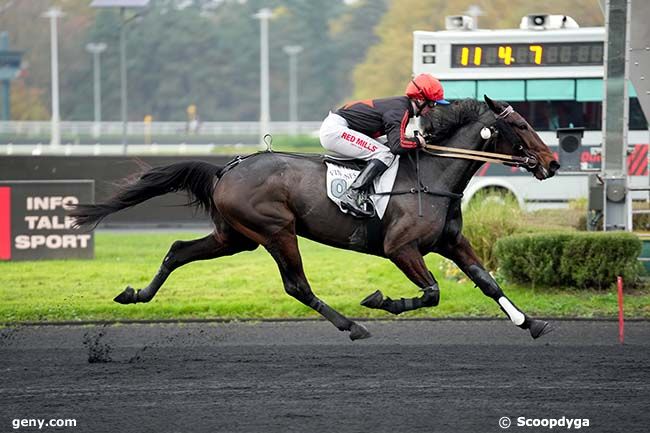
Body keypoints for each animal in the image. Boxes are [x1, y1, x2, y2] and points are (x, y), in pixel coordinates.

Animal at [69, 96, 556, 340]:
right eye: (522, 126)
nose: (551, 163)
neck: (432, 175)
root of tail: (226, 169)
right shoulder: (401, 248)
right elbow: (433, 292)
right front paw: (380, 300)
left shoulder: (450, 242)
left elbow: (488, 281)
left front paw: (530, 322)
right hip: (275, 230)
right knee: (297, 285)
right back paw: (353, 325)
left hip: (235, 236)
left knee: (176, 250)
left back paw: (136, 294)